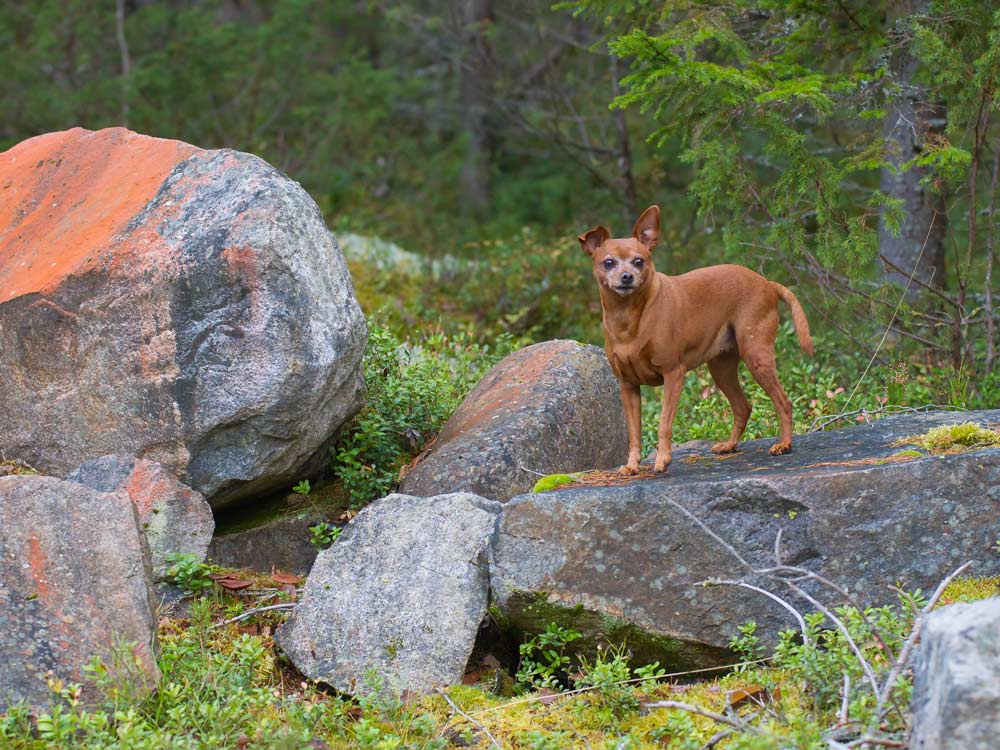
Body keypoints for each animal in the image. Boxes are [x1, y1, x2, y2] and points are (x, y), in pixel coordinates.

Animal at [580, 206, 812, 476]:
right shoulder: (628, 387)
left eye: (639, 261)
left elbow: (663, 423)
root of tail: (767, 283)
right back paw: (730, 445)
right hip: (721, 369)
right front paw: (632, 465)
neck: (628, 318)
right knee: (743, 407)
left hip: (757, 358)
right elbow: (634, 432)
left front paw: (663, 460)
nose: (627, 277)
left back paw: (784, 444)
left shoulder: (673, 374)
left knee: (783, 403)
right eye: (608, 262)